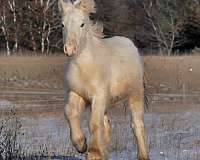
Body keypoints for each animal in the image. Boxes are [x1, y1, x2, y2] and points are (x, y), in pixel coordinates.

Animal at [58, 0, 150, 159]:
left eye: (82, 24)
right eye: (63, 24)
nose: (70, 49)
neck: (85, 67)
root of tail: (131, 45)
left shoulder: (99, 95)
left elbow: (94, 123)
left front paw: (93, 153)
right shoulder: (77, 93)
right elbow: (70, 112)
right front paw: (81, 145)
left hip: (135, 93)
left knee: (137, 124)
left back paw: (143, 155)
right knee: (107, 124)